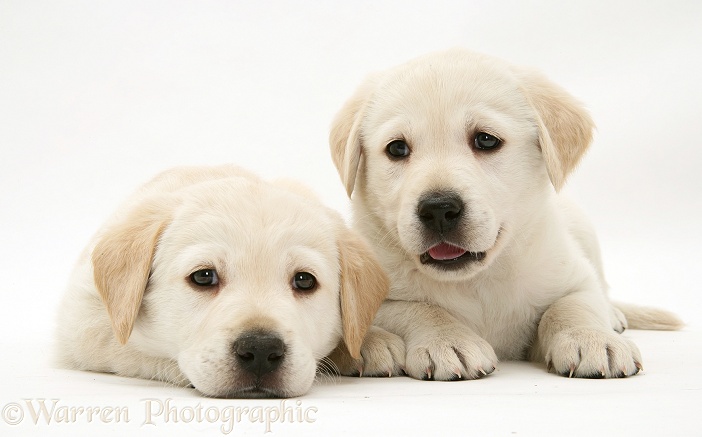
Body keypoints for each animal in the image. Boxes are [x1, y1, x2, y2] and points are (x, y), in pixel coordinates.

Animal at [55, 165, 390, 396]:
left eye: (305, 281)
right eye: (204, 277)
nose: (260, 351)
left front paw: (367, 341)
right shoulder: (84, 324)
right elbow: (132, 351)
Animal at [332, 49, 684, 380]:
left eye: (486, 140)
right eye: (397, 149)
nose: (438, 209)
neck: (477, 281)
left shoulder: (573, 273)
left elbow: (572, 304)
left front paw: (591, 338)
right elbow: (417, 309)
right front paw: (448, 340)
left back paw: (614, 317)